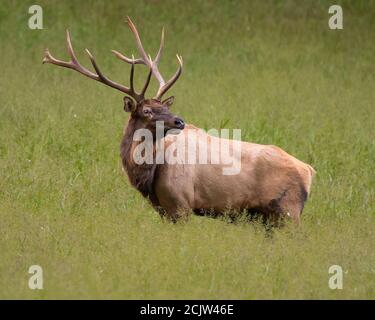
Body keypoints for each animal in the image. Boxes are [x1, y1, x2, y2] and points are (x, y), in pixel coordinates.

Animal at [42, 16, 316, 225]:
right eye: (147, 111)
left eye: (164, 106)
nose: (179, 121)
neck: (148, 173)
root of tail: (309, 171)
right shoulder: (162, 208)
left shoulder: (181, 203)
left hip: (288, 210)